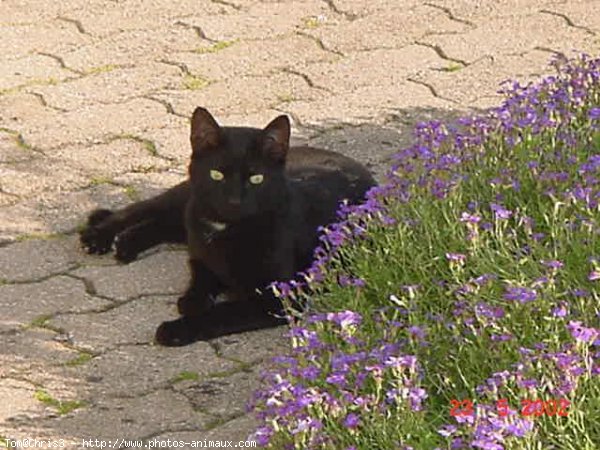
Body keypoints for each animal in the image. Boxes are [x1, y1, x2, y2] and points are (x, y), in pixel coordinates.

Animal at [81, 107, 376, 346]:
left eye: (256, 178)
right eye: (217, 174)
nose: (234, 200)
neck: (227, 230)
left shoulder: (277, 297)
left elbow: (224, 312)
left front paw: (178, 326)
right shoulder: (202, 250)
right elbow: (201, 273)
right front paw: (192, 300)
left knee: (161, 224)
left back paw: (125, 245)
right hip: (188, 198)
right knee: (143, 209)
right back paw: (98, 236)